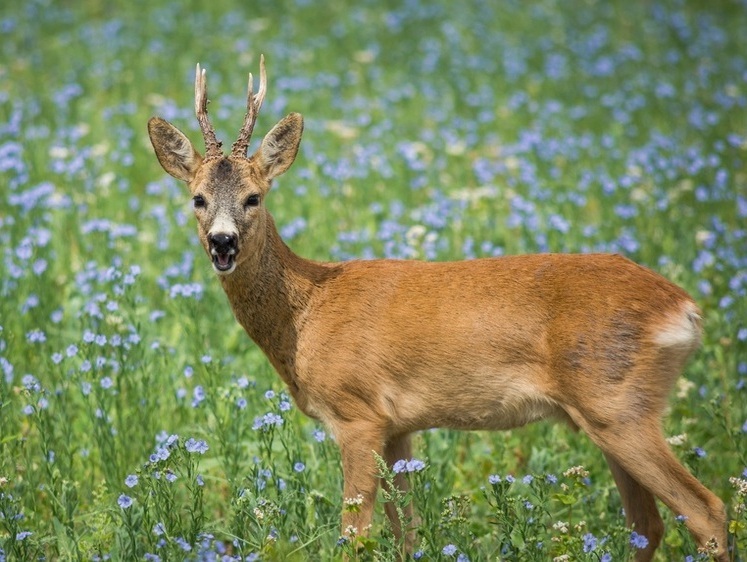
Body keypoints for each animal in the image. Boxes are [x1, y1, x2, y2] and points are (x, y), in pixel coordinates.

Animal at [149, 58, 728, 560]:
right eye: (198, 198)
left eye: (254, 197)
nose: (222, 242)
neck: (307, 313)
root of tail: (685, 308)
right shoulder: (399, 426)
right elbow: (408, 533)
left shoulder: (357, 413)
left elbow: (355, 537)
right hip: (610, 414)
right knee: (647, 525)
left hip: (618, 404)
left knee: (707, 511)